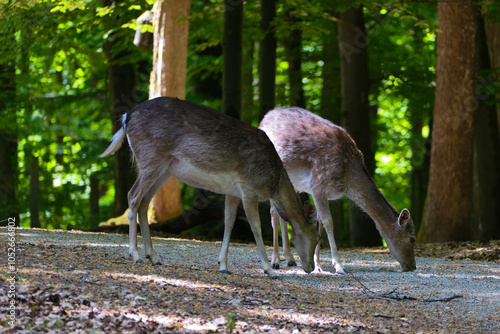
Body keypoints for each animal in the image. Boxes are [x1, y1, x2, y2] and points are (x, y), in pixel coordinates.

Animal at [101, 98, 318, 278]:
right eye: (316, 238)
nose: (309, 268)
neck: (273, 182)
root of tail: (126, 117)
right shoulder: (248, 187)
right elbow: (255, 226)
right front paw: (269, 270)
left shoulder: (233, 192)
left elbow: (229, 223)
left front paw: (223, 266)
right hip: (151, 159)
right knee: (133, 196)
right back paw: (135, 254)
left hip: (164, 170)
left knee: (144, 202)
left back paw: (153, 256)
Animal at [260, 107, 416, 274]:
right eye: (412, 239)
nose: (413, 266)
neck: (346, 180)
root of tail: (264, 119)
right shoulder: (317, 184)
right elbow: (328, 222)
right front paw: (339, 266)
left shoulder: (322, 193)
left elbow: (320, 223)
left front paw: (318, 266)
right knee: (273, 213)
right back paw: (275, 261)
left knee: (283, 212)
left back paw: (290, 259)